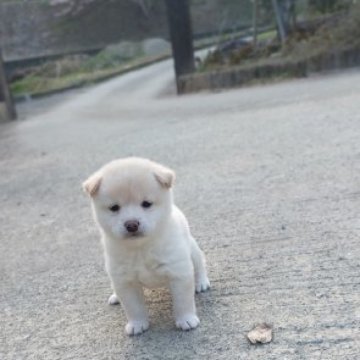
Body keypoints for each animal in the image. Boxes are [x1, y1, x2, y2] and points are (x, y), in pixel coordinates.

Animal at [82, 158, 210, 334]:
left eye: (146, 204)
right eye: (114, 207)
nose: (131, 224)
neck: (140, 248)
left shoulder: (178, 272)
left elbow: (183, 301)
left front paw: (186, 319)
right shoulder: (125, 281)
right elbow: (133, 307)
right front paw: (137, 324)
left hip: (193, 251)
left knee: (199, 265)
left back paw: (201, 283)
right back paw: (115, 296)